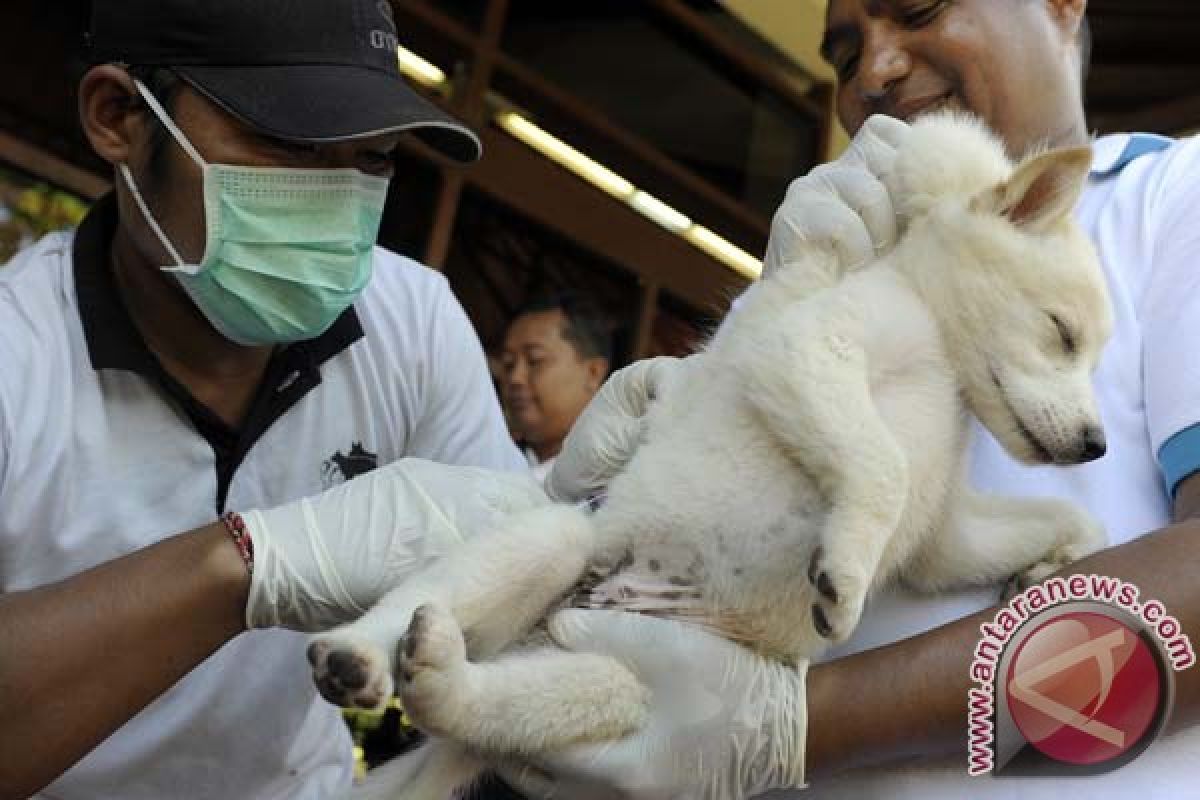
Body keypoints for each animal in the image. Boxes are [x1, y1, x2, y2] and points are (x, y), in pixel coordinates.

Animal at [314, 113, 1108, 800]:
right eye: (1062, 332)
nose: (1096, 445)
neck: (944, 363)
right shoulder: (806, 349)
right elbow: (883, 468)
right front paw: (846, 574)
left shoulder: (941, 536)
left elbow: (1050, 517)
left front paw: (1059, 562)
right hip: (559, 540)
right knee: (411, 606)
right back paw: (355, 655)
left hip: (621, 686)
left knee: (486, 708)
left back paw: (440, 679)